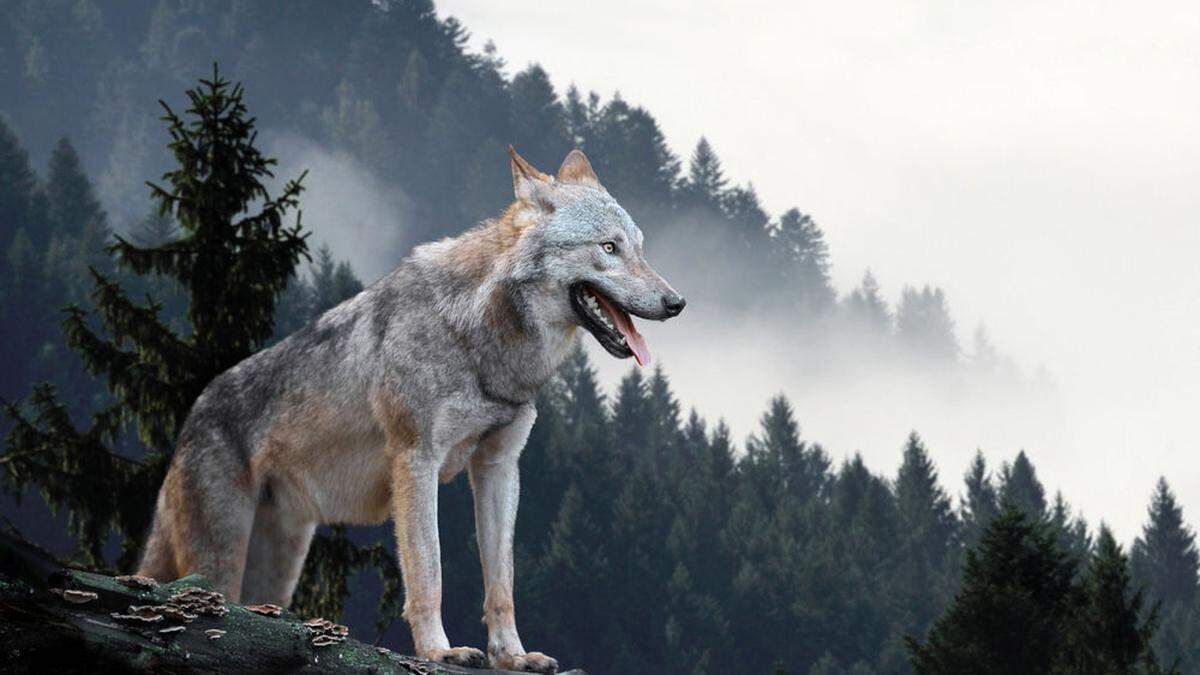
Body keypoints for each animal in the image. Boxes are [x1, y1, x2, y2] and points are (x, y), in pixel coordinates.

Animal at [135, 145, 686, 667]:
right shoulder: (416, 460)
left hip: (278, 571)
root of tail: (192, 415)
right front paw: (439, 652)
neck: (480, 338)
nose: (677, 303)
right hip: (220, 560)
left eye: (640, 248)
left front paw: (511, 656)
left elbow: (501, 583)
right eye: (608, 248)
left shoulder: (500, 466)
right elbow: (429, 572)